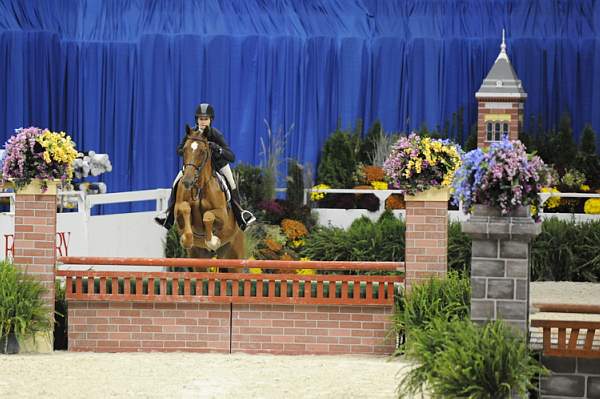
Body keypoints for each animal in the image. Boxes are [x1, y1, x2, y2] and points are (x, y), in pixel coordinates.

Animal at [175, 126, 245, 262]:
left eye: (203, 152)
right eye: (184, 149)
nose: (187, 182)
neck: (199, 188)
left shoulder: (222, 214)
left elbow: (208, 216)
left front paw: (213, 241)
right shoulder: (177, 212)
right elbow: (185, 208)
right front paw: (186, 240)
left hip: (234, 254)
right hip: (198, 255)